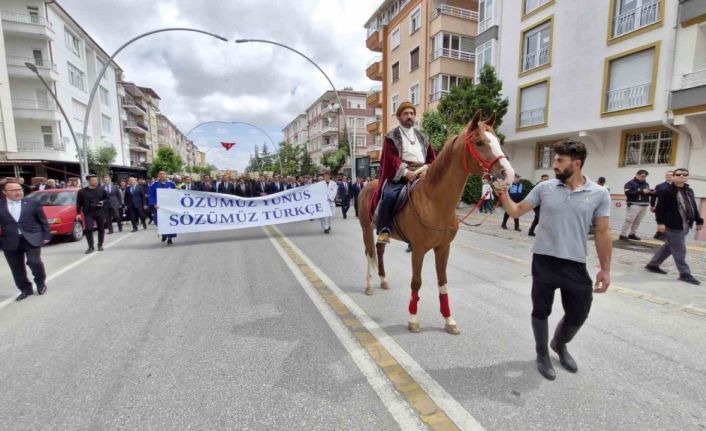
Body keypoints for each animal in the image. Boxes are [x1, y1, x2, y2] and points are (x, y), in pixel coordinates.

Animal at [358, 110, 512, 334]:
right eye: (480, 142)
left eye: (498, 141)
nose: (509, 175)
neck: (434, 201)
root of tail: (367, 185)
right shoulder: (419, 249)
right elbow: (416, 282)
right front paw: (413, 319)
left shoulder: (443, 248)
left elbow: (443, 282)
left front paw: (449, 320)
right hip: (366, 229)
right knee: (370, 254)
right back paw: (369, 285)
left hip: (380, 231)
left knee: (379, 250)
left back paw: (383, 280)